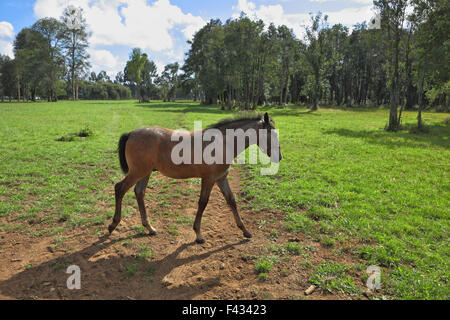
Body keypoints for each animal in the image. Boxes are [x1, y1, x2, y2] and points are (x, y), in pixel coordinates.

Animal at [107, 112, 282, 242]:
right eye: (271, 135)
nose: (279, 157)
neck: (222, 144)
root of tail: (131, 133)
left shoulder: (221, 178)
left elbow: (231, 201)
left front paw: (245, 231)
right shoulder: (209, 179)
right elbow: (203, 203)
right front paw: (198, 235)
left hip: (145, 172)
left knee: (139, 192)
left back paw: (150, 228)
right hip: (137, 171)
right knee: (119, 188)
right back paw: (113, 225)